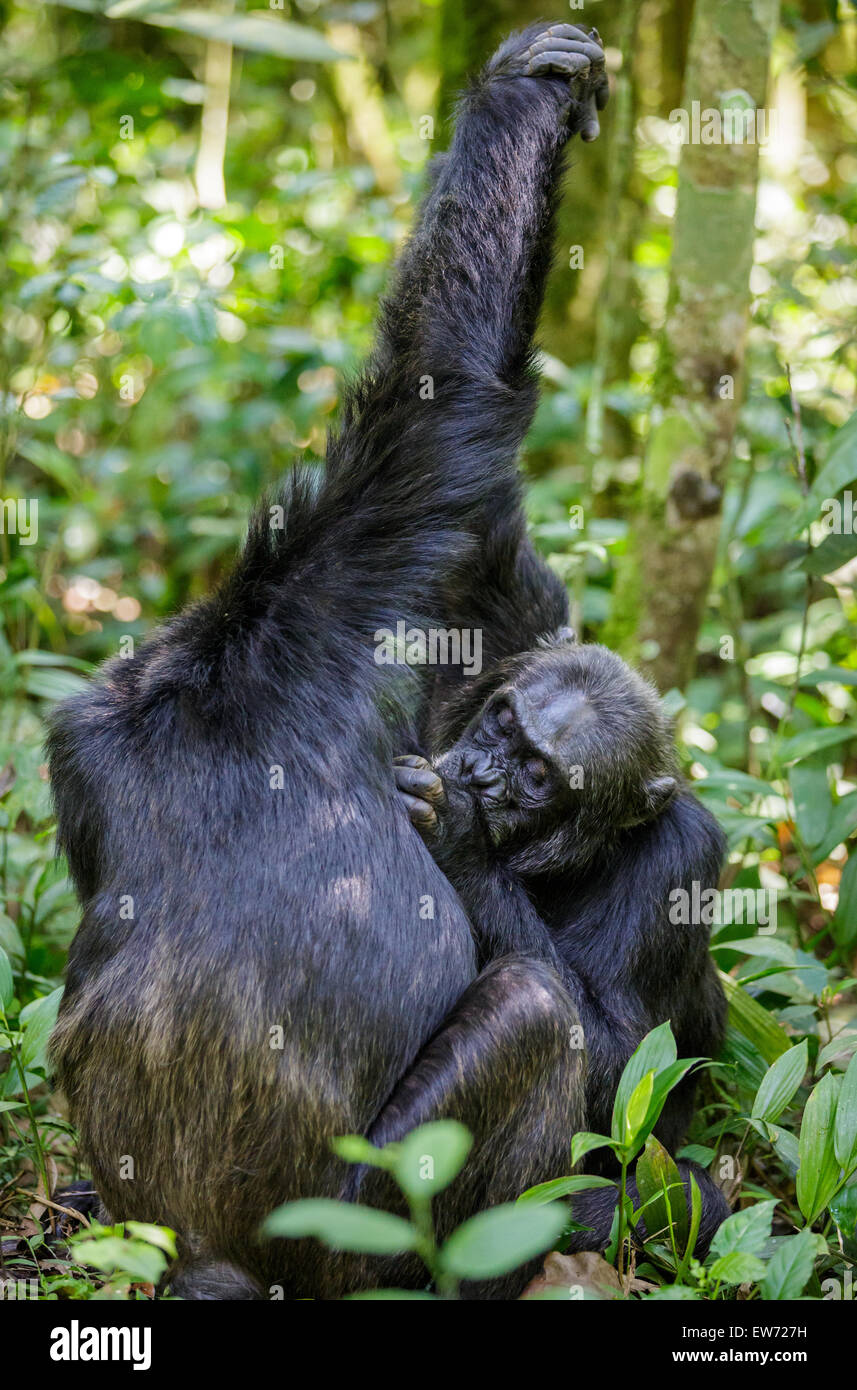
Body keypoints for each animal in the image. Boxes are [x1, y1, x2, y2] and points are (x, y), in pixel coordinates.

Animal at [48, 24, 722, 1301]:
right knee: (530, 1008)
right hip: (366, 1240)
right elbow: (457, 406)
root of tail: (223, 1261)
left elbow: (626, 1047)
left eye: (542, 776)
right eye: (505, 738)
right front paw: (531, 86)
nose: (488, 777)